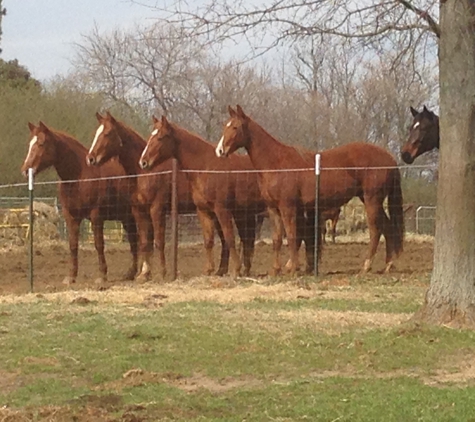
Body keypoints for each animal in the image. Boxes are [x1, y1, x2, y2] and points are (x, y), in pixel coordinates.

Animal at [20, 122, 139, 286]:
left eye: (41, 143)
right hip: (127, 218)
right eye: (30, 144)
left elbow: (99, 244)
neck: (78, 177)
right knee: (134, 241)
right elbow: (73, 245)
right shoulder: (71, 217)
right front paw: (71, 277)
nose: (25, 170)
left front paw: (102, 276)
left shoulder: (96, 216)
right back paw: (131, 273)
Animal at [86, 113, 234, 276]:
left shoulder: (157, 210)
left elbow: (159, 242)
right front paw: (144, 273)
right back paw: (221, 270)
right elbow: (145, 243)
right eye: (96, 133)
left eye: (107, 133)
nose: (90, 158)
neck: (144, 173)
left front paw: (162, 272)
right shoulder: (139, 211)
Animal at [140, 115, 268, 276]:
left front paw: (236, 269)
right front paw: (209, 269)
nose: (143, 162)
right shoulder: (204, 211)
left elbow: (229, 238)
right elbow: (208, 240)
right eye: (150, 136)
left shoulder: (222, 210)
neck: (206, 167)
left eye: (160, 137)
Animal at [217, 106, 406, 274]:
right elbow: (277, 239)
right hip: (370, 199)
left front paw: (293, 268)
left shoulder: (288, 208)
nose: (220, 151)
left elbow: (292, 236)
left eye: (235, 127)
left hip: (372, 200)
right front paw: (276, 270)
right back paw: (388, 265)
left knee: (375, 230)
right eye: (225, 125)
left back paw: (366, 266)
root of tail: (390, 159)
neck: (276, 163)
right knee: (388, 227)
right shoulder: (273, 210)